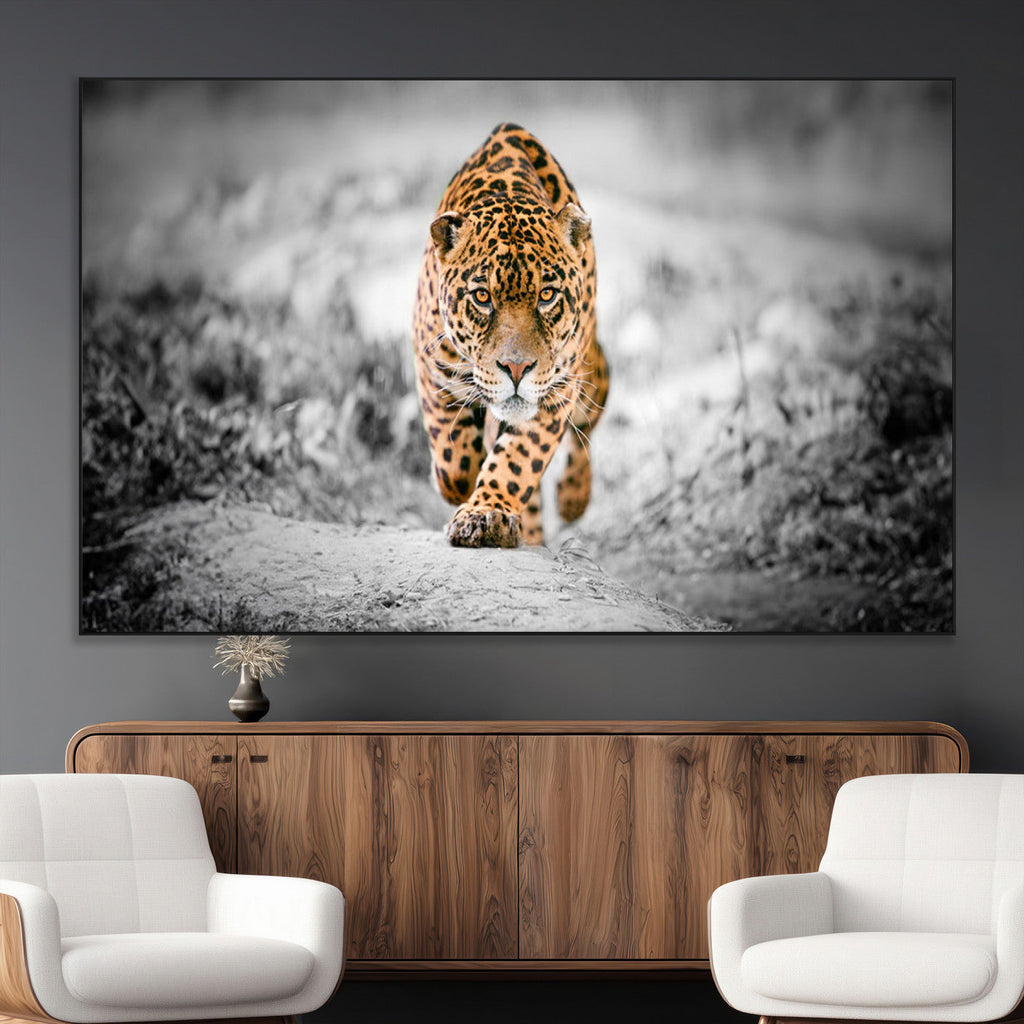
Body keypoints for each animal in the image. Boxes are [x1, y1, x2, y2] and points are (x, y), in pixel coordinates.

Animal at [411, 122, 609, 548]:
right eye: (482, 297)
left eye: (547, 295)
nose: (516, 369)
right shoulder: (432, 365)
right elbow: (453, 458)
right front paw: (460, 486)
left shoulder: (557, 390)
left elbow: (518, 460)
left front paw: (485, 514)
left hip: (591, 375)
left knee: (585, 428)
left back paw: (573, 498)